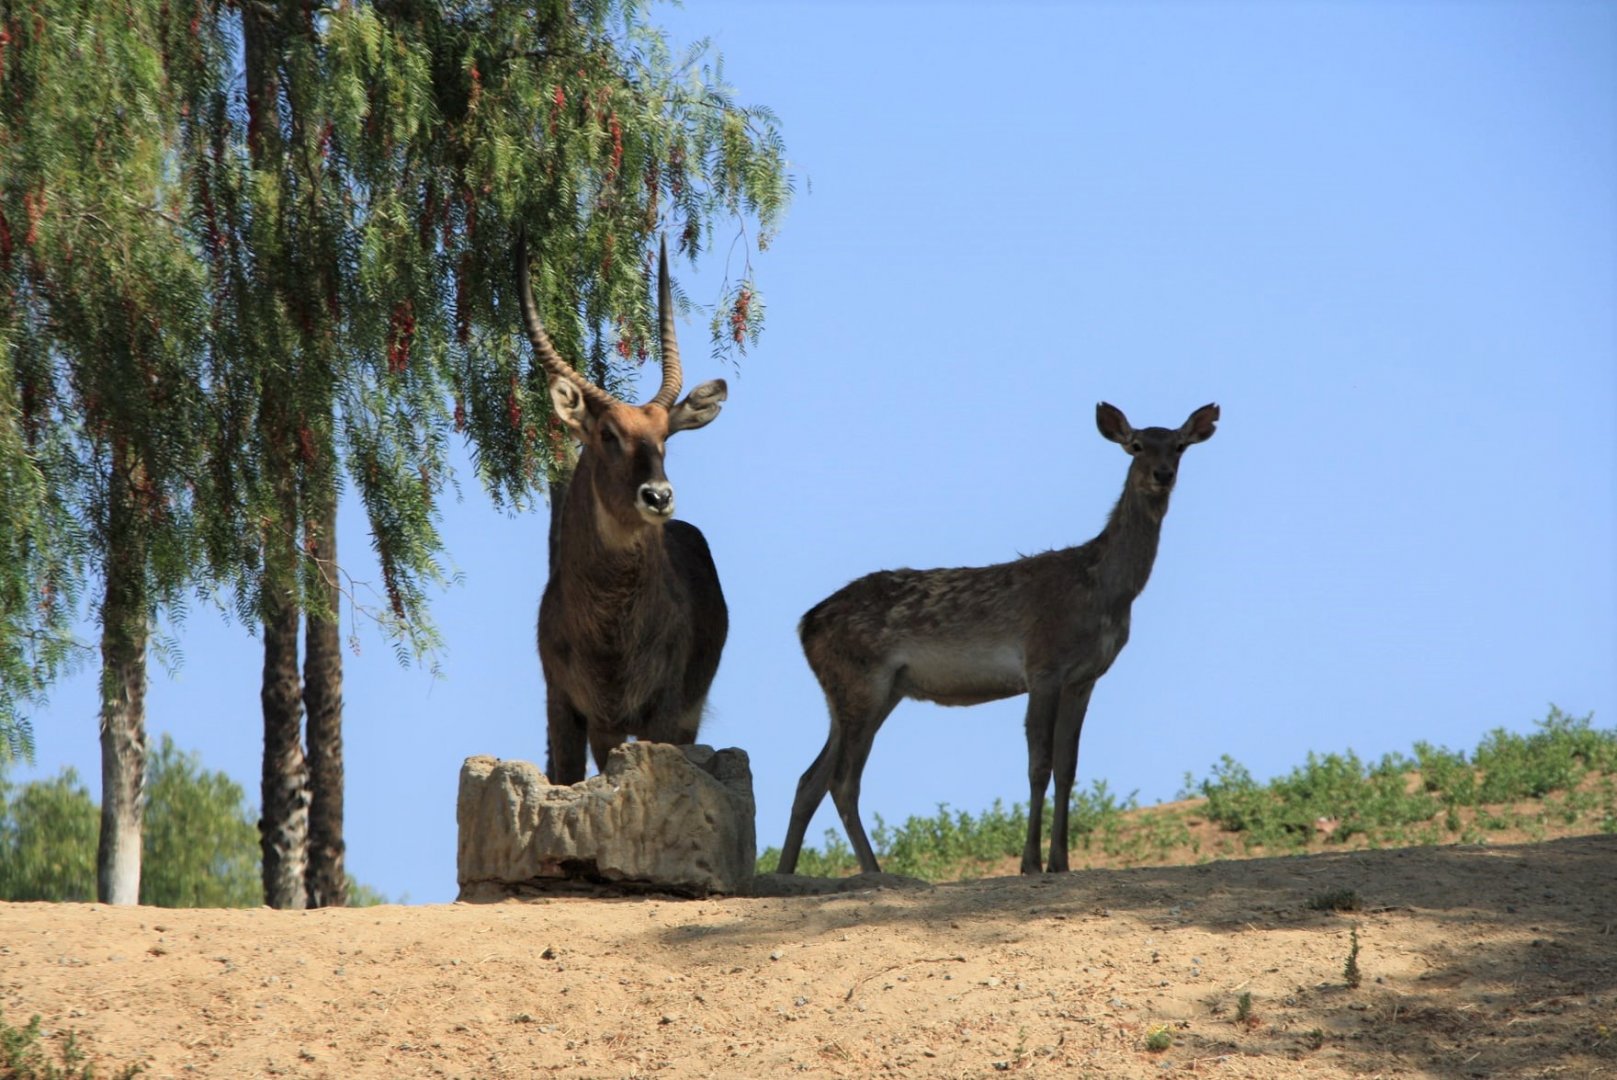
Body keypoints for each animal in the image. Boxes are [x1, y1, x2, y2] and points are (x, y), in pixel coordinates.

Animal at [517, 232, 729, 785]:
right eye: (607, 434)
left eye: (665, 436)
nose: (658, 496)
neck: (608, 638)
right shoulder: (568, 709)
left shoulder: (662, 710)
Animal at [778, 401, 1219, 876]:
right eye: (1135, 444)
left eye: (1179, 445)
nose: (1162, 474)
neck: (1104, 593)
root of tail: (805, 625)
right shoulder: (1043, 663)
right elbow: (1038, 765)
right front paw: (1030, 864)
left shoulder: (1085, 678)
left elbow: (1068, 768)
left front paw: (1061, 863)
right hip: (863, 682)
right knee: (842, 781)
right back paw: (873, 871)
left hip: (867, 693)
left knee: (810, 779)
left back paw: (785, 871)